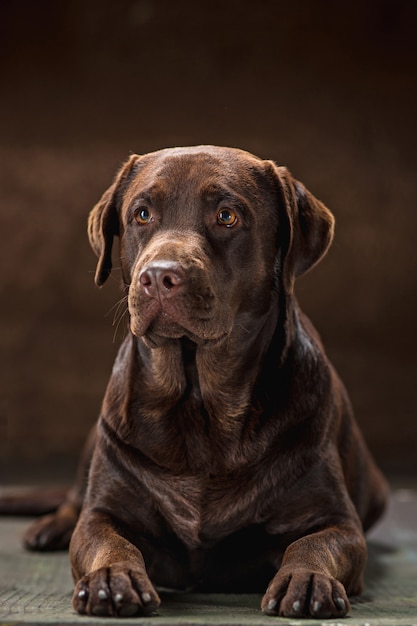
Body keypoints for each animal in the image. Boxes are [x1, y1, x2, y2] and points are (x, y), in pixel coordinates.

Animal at [17, 145, 386, 616]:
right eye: (141, 214)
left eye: (227, 216)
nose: (158, 277)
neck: (199, 403)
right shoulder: (103, 513)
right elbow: (107, 539)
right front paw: (111, 578)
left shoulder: (338, 522)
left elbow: (312, 545)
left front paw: (307, 581)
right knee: (73, 500)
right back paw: (51, 526)